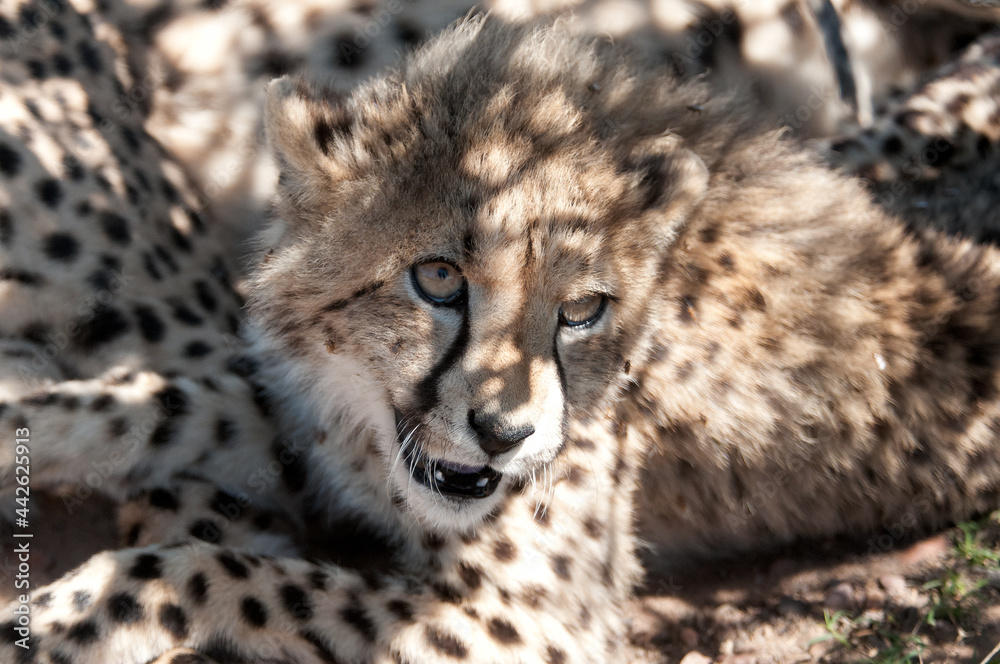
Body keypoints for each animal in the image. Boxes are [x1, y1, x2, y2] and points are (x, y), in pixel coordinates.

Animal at [4, 2, 1000, 661]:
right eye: (440, 278)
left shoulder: (533, 623)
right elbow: (168, 398)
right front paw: (31, 426)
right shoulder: (318, 423)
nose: (503, 434)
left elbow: (222, 573)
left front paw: (58, 616)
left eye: (582, 309)